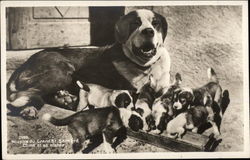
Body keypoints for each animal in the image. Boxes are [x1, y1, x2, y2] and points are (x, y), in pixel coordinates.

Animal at [6, 8, 171, 119]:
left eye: (156, 23)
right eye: (135, 23)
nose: (149, 31)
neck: (146, 67)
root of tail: (25, 63)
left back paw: (65, 99)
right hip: (62, 71)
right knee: (23, 95)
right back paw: (30, 108)